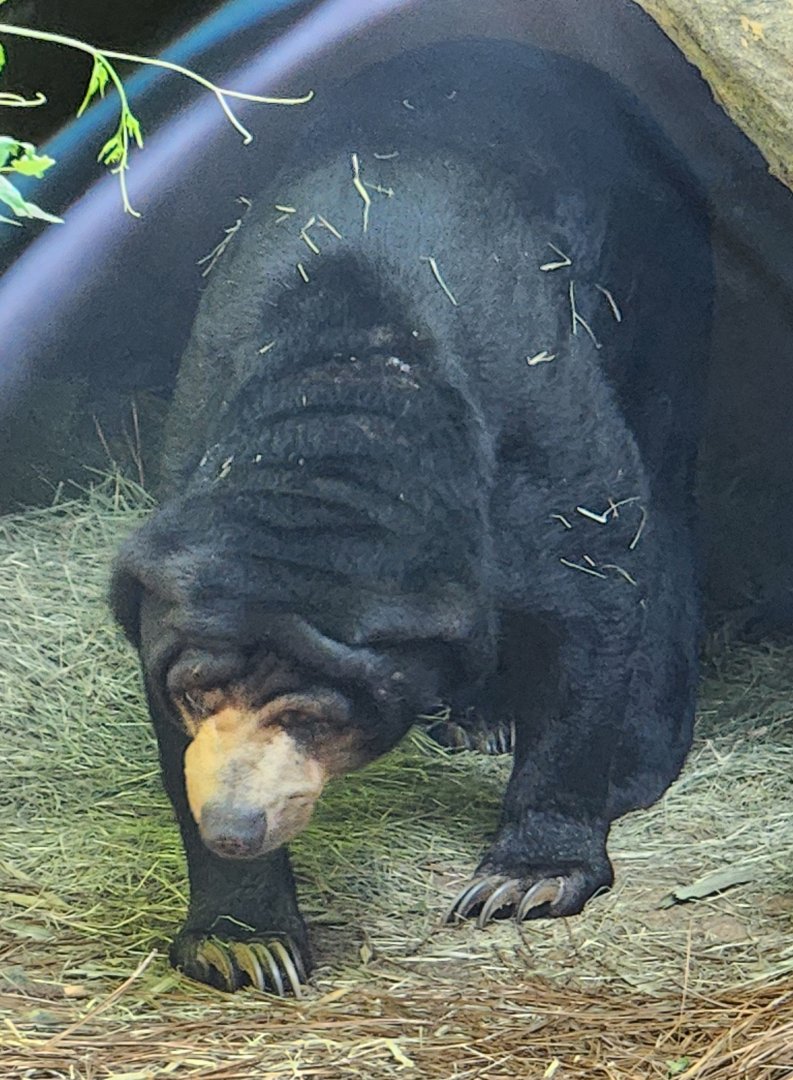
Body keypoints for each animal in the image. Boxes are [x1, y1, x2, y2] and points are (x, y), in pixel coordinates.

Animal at [110, 39, 712, 994]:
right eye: (197, 691)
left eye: (319, 719)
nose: (235, 824)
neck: (349, 384)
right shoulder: (197, 439)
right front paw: (244, 940)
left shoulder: (534, 414)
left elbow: (596, 584)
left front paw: (527, 880)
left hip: (664, 283)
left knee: (668, 493)